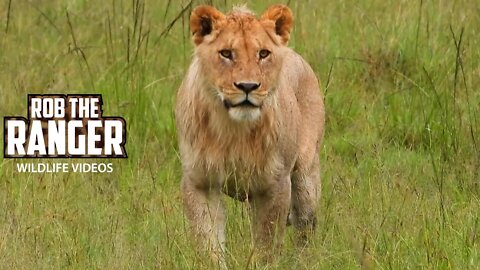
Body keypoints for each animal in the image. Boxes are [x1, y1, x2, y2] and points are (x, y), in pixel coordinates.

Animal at [174, 3, 324, 264]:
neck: (233, 129)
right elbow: (207, 242)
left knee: (305, 230)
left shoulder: (274, 185)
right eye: (226, 53)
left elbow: (266, 245)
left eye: (263, 54)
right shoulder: (200, 182)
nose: (247, 86)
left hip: (306, 180)